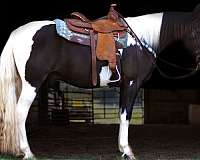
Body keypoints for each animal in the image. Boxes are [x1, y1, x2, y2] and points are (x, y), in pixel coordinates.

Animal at [1, 4, 200, 160]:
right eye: (198, 30)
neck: (142, 40)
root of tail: (15, 34)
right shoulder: (131, 84)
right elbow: (125, 115)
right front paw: (127, 151)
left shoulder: (124, 86)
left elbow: (121, 114)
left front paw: (122, 149)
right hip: (32, 84)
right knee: (20, 112)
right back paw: (28, 152)